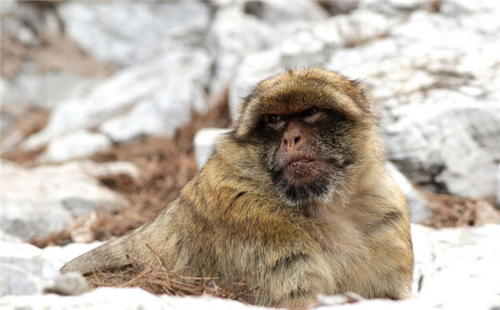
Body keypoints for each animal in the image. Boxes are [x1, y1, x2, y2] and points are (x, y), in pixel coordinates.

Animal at [61, 67, 414, 308]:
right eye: (274, 119)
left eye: (311, 112)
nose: (291, 138)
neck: (322, 204)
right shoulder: (254, 220)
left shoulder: (386, 212)